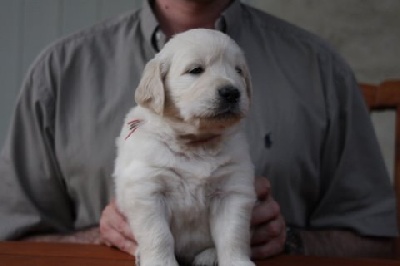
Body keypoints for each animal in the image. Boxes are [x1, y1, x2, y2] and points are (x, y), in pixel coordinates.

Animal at [114, 29, 255, 266]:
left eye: (238, 70)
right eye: (196, 70)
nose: (232, 92)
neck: (196, 143)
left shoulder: (231, 190)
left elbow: (233, 234)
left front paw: (238, 262)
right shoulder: (148, 191)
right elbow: (159, 236)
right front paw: (160, 263)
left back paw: (208, 256)